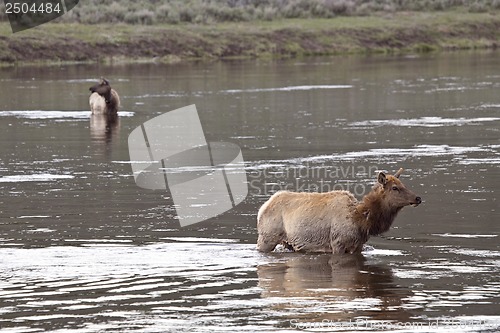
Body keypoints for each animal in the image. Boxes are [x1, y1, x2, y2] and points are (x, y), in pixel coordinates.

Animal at [256, 167, 420, 253]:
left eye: (403, 184)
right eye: (395, 188)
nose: (418, 198)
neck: (361, 220)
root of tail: (262, 208)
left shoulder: (358, 245)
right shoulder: (338, 243)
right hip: (266, 237)